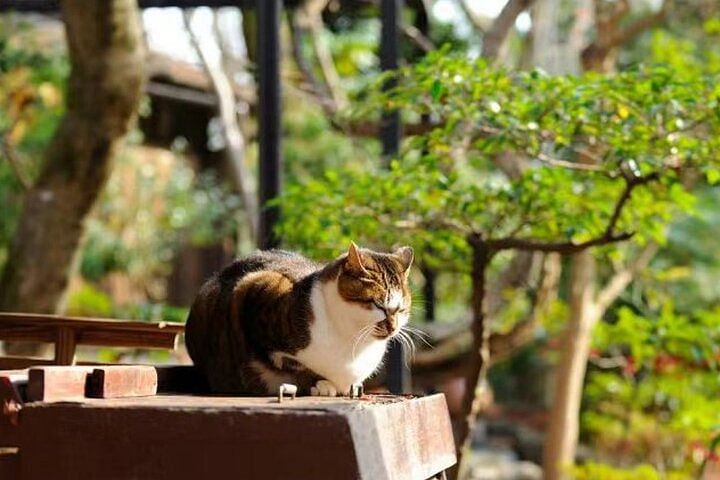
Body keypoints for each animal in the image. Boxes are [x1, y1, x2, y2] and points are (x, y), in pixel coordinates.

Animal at [183, 242, 414, 396]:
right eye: (378, 305)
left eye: (400, 309)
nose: (392, 327)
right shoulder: (251, 289)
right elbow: (293, 364)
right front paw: (321, 383)